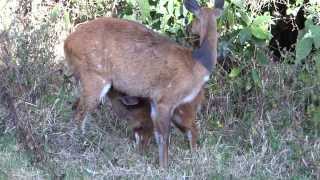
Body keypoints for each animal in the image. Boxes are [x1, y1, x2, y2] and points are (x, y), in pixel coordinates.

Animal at [63, 0, 224, 169]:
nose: (189, 28)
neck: (197, 64)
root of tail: (68, 42)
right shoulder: (165, 99)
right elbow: (163, 135)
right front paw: (164, 167)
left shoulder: (154, 101)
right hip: (95, 77)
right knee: (80, 113)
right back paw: (82, 142)